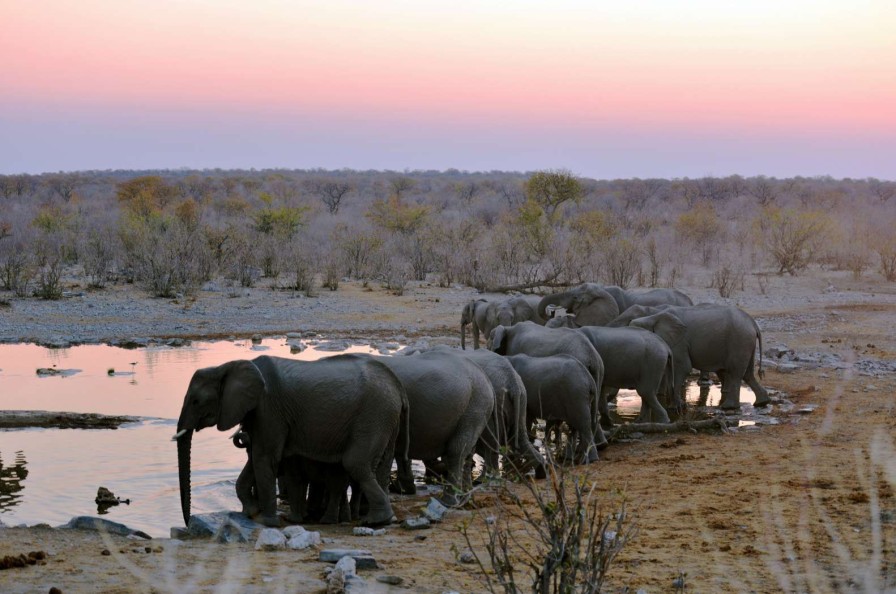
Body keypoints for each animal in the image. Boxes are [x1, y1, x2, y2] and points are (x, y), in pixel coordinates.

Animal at [174, 352, 406, 524]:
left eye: (196, 401)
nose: (188, 522)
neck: (227, 366)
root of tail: (396, 384)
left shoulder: (268, 408)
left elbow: (264, 457)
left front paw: (266, 521)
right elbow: (255, 459)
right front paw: (250, 512)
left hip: (374, 414)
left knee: (355, 462)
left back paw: (376, 520)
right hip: (386, 417)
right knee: (381, 465)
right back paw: (379, 517)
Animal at [372, 350, 496, 502]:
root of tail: (485, 378)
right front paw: (402, 489)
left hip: (475, 405)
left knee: (457, 450)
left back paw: (450, 501)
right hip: (476, 405)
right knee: (468, 450)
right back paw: (465, 496)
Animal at [608, 302, 768, 410]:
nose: (611, 400)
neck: (652, 315)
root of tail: (753, 323)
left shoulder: (679, 341)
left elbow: (683, 367)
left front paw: (674, 407)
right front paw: (669, 401)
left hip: (739, 340)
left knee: (736, 373)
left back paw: (728, 407)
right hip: (745, 342)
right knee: (747, 374)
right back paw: (762, 402)